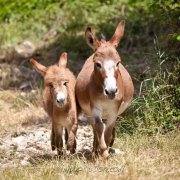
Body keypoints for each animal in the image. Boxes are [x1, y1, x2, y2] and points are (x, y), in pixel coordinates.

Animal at [75, 20, 134, 158]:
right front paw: (102, 152)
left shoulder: (114, 111)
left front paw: (106, 151)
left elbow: (107, 131)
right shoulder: (95, 109)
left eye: (118, 63)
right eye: (97, 64)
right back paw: (95, 150)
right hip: (90, 113)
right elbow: (99, 127)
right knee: (95, 128)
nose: (111, 91)